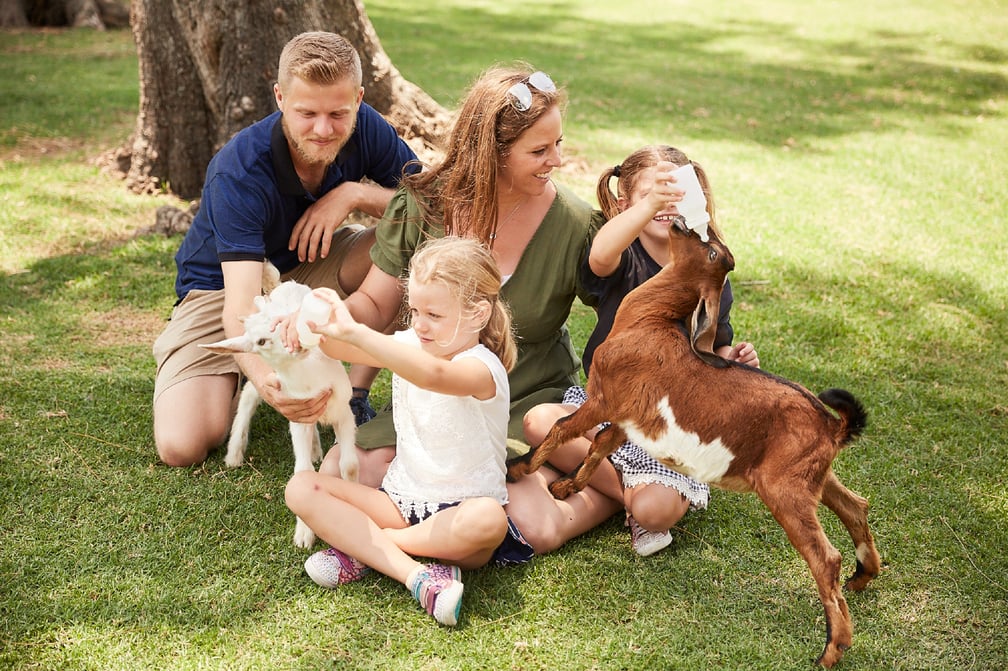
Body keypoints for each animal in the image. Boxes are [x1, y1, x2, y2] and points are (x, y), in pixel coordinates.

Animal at [198, 263, 356, 548]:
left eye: (286, 323)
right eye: (260, 341)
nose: (299, 343)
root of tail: (280, 287)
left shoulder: (344, 411)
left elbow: (349, 465)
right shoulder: (296, 410)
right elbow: (302, 471)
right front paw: (304, 534)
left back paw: (315, 449)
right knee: (249, 394)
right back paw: (234, 454)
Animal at [508, 218, 878, 664]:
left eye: (714, 252)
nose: (682, 222)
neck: (648, 323)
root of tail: (831, 426)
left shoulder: (603, 401)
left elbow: (562, 428)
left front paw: (520, 469)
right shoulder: (628, 420)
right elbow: (598, 446)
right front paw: (566, 487)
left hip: (784, 490)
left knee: (826, 558)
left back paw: (831, 649)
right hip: (814, 477)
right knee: (855, 506)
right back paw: (863, 578)